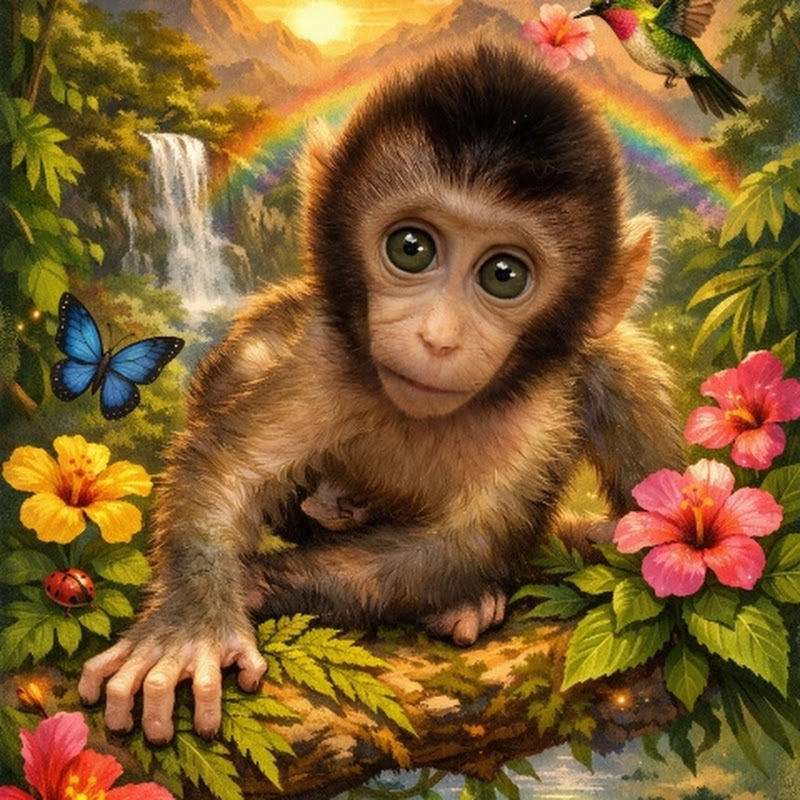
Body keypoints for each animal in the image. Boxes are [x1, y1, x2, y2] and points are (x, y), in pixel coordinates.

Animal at [78, 41, 684, 745]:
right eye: (411, 247)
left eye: (504, 275)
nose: (437, 337)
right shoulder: (325, 360)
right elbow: (229, 473)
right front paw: (190, 624)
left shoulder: (536, 417)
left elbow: (464, 542)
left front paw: (258, 583)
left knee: (616, 359)